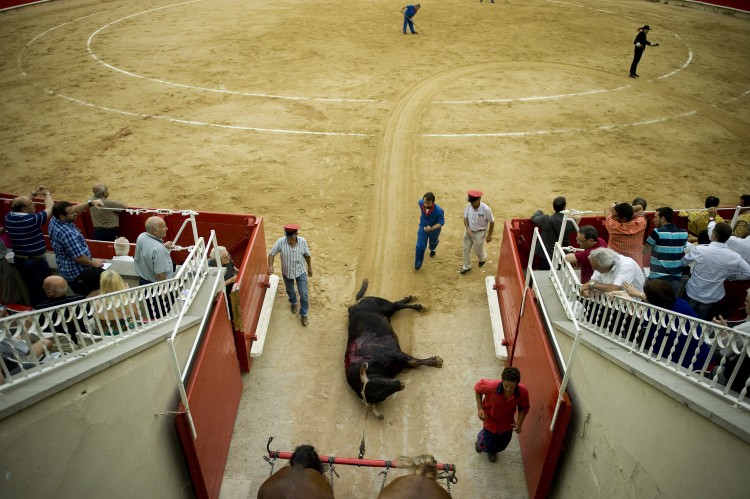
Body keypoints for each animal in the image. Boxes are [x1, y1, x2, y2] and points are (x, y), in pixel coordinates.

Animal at [348, 280, 446, 420]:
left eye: (379, 383)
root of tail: (356, 304)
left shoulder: (395, 354)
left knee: (397, 305)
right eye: (382, 396)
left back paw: (418, 304)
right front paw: (435, 361)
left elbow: (413, 361)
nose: (400, 385)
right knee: (397, 305)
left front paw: (437, 361)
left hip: (384, 305)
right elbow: (413, 362)